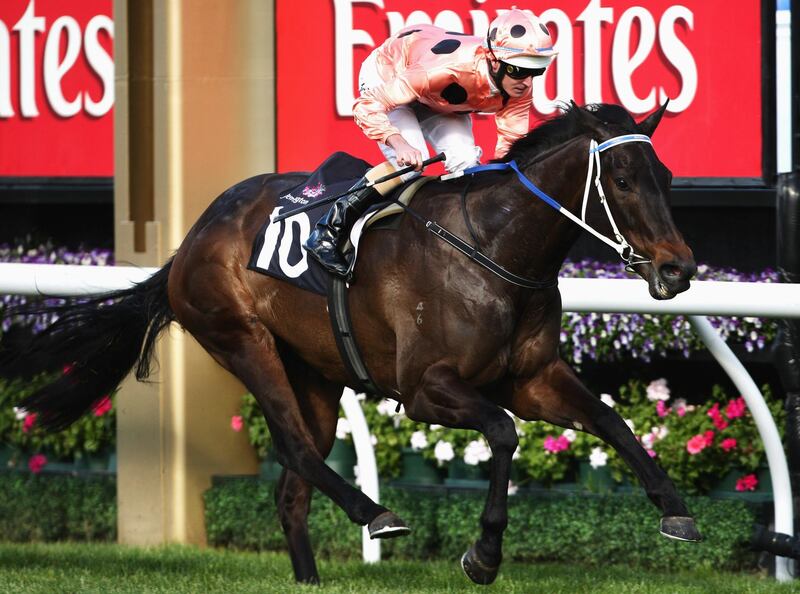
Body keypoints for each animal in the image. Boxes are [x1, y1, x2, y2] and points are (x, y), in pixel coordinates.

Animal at [3, 102, 696, 584]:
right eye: (624, 180)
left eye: (666, 175)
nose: (678, 268)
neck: (495, 249)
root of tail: (189, 241)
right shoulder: (425, 389)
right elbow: (502, 433)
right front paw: (484, 553)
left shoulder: (533, 378)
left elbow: (611, 421)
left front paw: (676, 510)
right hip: (241, 339)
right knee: (297, 451)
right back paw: (376, 514)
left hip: (315, 373)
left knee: (292, 485)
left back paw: (311, 577)